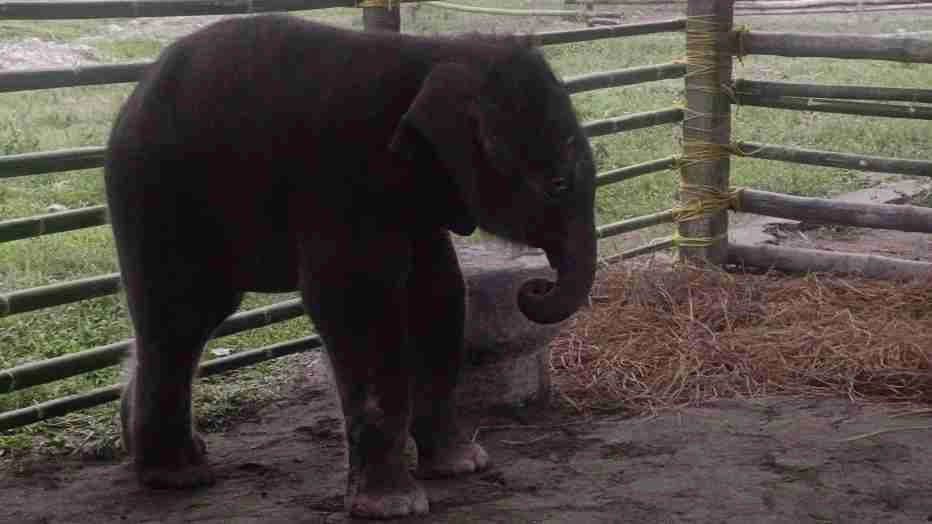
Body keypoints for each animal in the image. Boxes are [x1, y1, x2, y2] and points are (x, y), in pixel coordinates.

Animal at [104, 13, 597, 520]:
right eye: (558, 184)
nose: (533, 288)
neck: (434, 52)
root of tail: (136, 94)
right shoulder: (344, 179)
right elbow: (357, 303)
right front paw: (396, 507)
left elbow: (438, 291)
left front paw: (462, 467)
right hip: (156, 193)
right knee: (182, 313)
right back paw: (177, 477)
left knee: (193, 315)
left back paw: (171, 457)